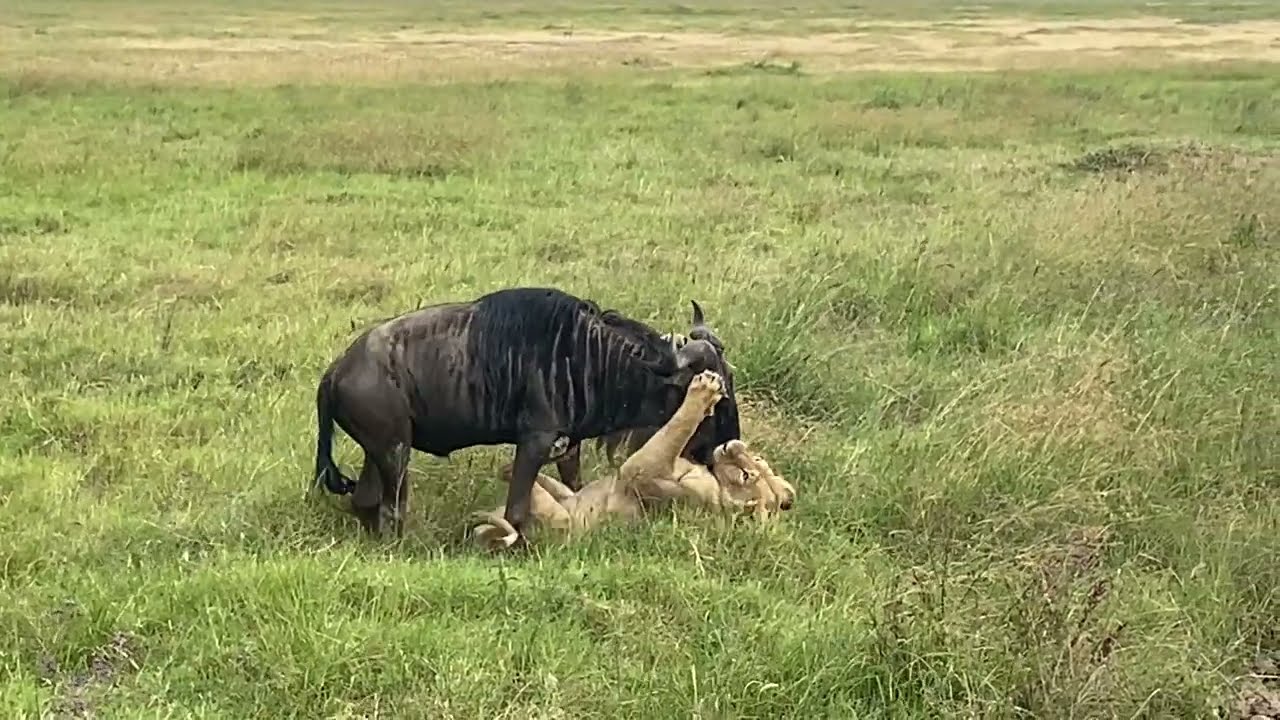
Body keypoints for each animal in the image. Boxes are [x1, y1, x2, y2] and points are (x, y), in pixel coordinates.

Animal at [469, 369, 795, 549]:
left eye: (746, 476)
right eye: (757, 461)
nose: (732, 446)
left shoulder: (640, 473)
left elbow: (676, 428)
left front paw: (705, 390)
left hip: (561, 523)